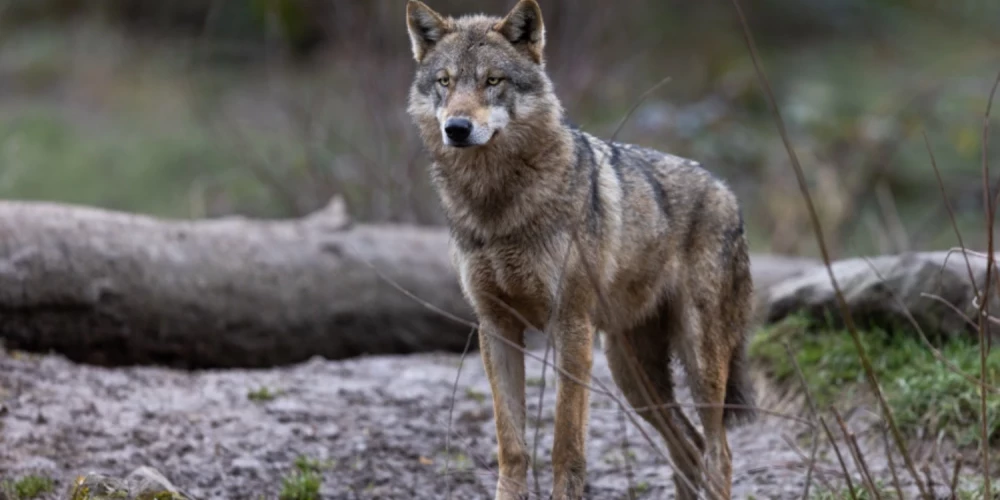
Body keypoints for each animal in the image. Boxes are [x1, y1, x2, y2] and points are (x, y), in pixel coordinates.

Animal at [402, 1, 752, 498]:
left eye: (493, 80)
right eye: (445, 81)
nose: (457, 128)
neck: (498, 205)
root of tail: (727, 191)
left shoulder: (570, 327)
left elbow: (565, 444)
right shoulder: (496, 326)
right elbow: (512, 445)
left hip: (696, 362)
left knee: (718, 452)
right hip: (631, 374)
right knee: (689, 447)